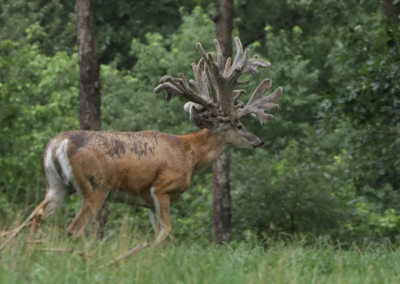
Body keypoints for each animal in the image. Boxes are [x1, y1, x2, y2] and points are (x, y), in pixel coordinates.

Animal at [0, 37, 282, 251]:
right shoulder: (162, 188)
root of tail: (59, 143)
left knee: (37, 216)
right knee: (74, 228)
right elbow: (166, 231)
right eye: (238, 124)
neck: (190, 154)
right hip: (95, 185)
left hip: (57, 185)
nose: (259, 141)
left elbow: (163, 232)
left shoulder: (147, 200)